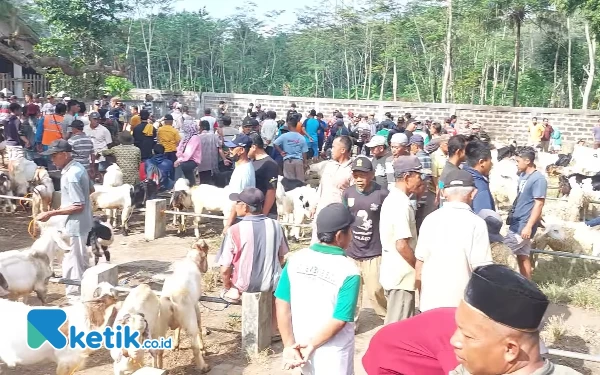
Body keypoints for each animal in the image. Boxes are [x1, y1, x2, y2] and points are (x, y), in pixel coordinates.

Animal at [162, 242, 211, 374]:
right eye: (206, 254)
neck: (190, 260)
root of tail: (170, 297)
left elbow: (177, 329)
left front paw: (175, 345)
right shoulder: (195, 305)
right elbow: (200, 326)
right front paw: (203, 349)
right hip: (189, 318)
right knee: (194, 344)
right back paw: (204, 367)